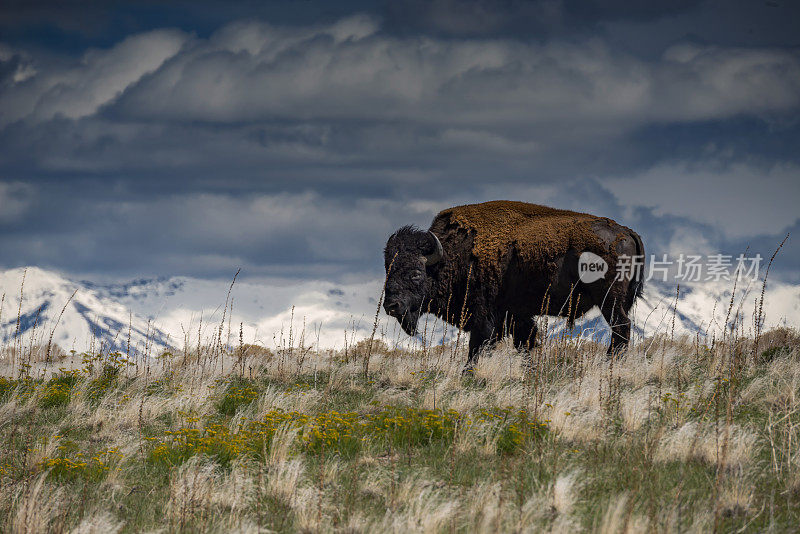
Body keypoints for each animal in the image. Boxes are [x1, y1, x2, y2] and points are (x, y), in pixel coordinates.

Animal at [382, 201, 644, 372]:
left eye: (416, 274)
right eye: (388, 270)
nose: (391, 306)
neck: (451, 256)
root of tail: (626, 232)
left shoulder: (485, 318)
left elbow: (477, 348)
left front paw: (467, 374)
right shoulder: (516, 315)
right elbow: (525, 343)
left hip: (609, 300)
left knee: (621, 328)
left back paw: (608, 364)